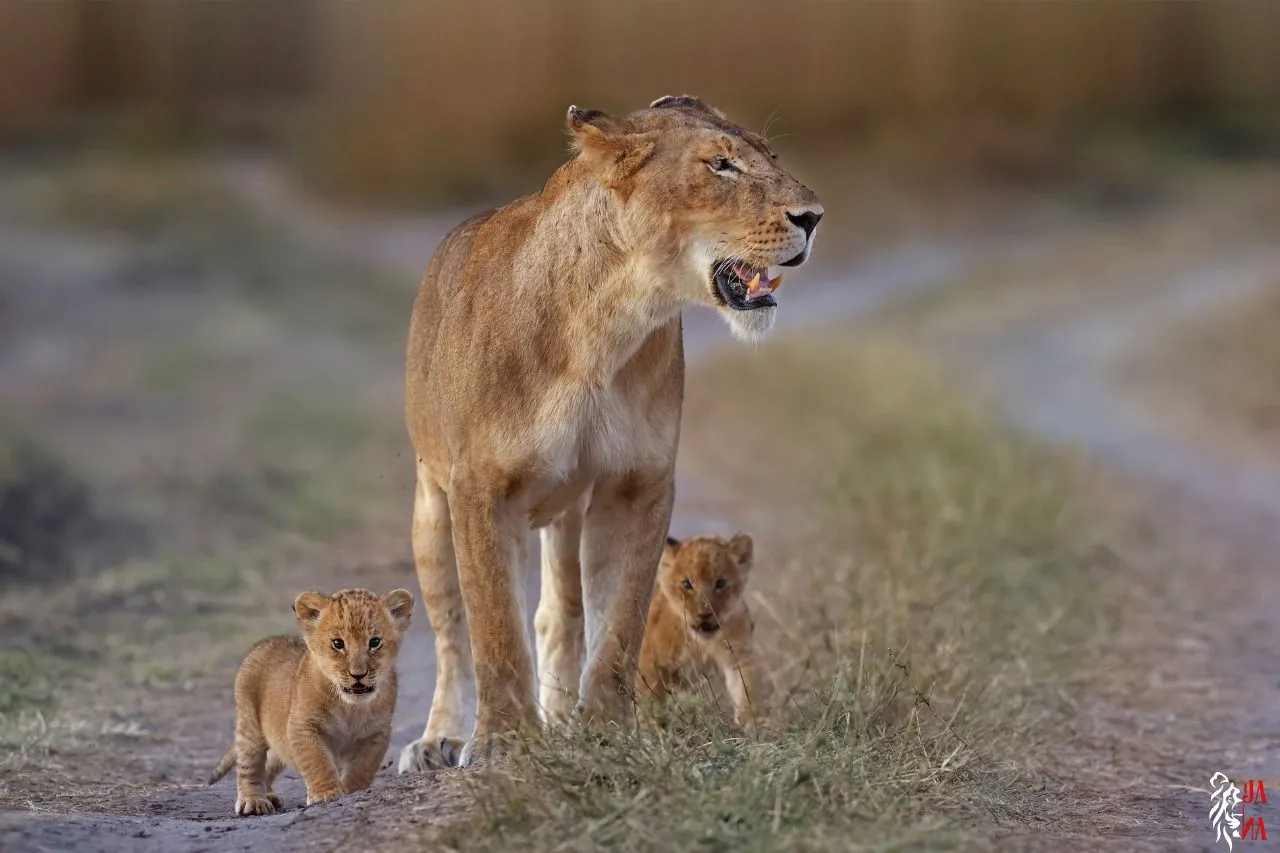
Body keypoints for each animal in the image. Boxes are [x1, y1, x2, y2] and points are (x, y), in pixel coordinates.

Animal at [208, 587, 414, 815]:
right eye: (338, 644)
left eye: (374, 642)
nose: (358, 675)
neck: (349, 706)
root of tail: (264, 643)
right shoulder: (302, 726)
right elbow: (317, 761)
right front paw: (326, 793)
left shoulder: (376, 733)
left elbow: (362, 767)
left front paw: (349, 790)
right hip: (250, 727)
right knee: (250, 765)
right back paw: (253, 801)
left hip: (278, 741)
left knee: (270, 763)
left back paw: (269, 795)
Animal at [638, 534, 762, 728]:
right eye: (687, 584)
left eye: (720, 583)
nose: (704, 614)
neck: (701, 642)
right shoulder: (650, 661)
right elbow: (650, 700)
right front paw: (652, 728)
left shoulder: (739, 654)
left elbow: (746, 688)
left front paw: (751, 724)